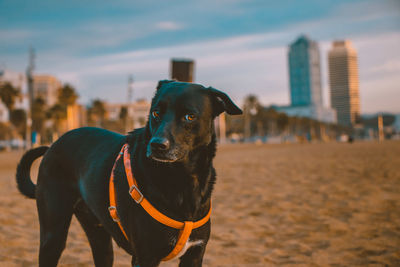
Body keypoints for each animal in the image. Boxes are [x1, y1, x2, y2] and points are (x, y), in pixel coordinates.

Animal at [16, 80, 241, 267]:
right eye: (156, 113)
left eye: (189, 116)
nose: (157, 145)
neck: (182, 179)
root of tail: (54, 144)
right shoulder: (145, 257)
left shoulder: (195, 254)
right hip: (53, 234)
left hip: (100, 239)